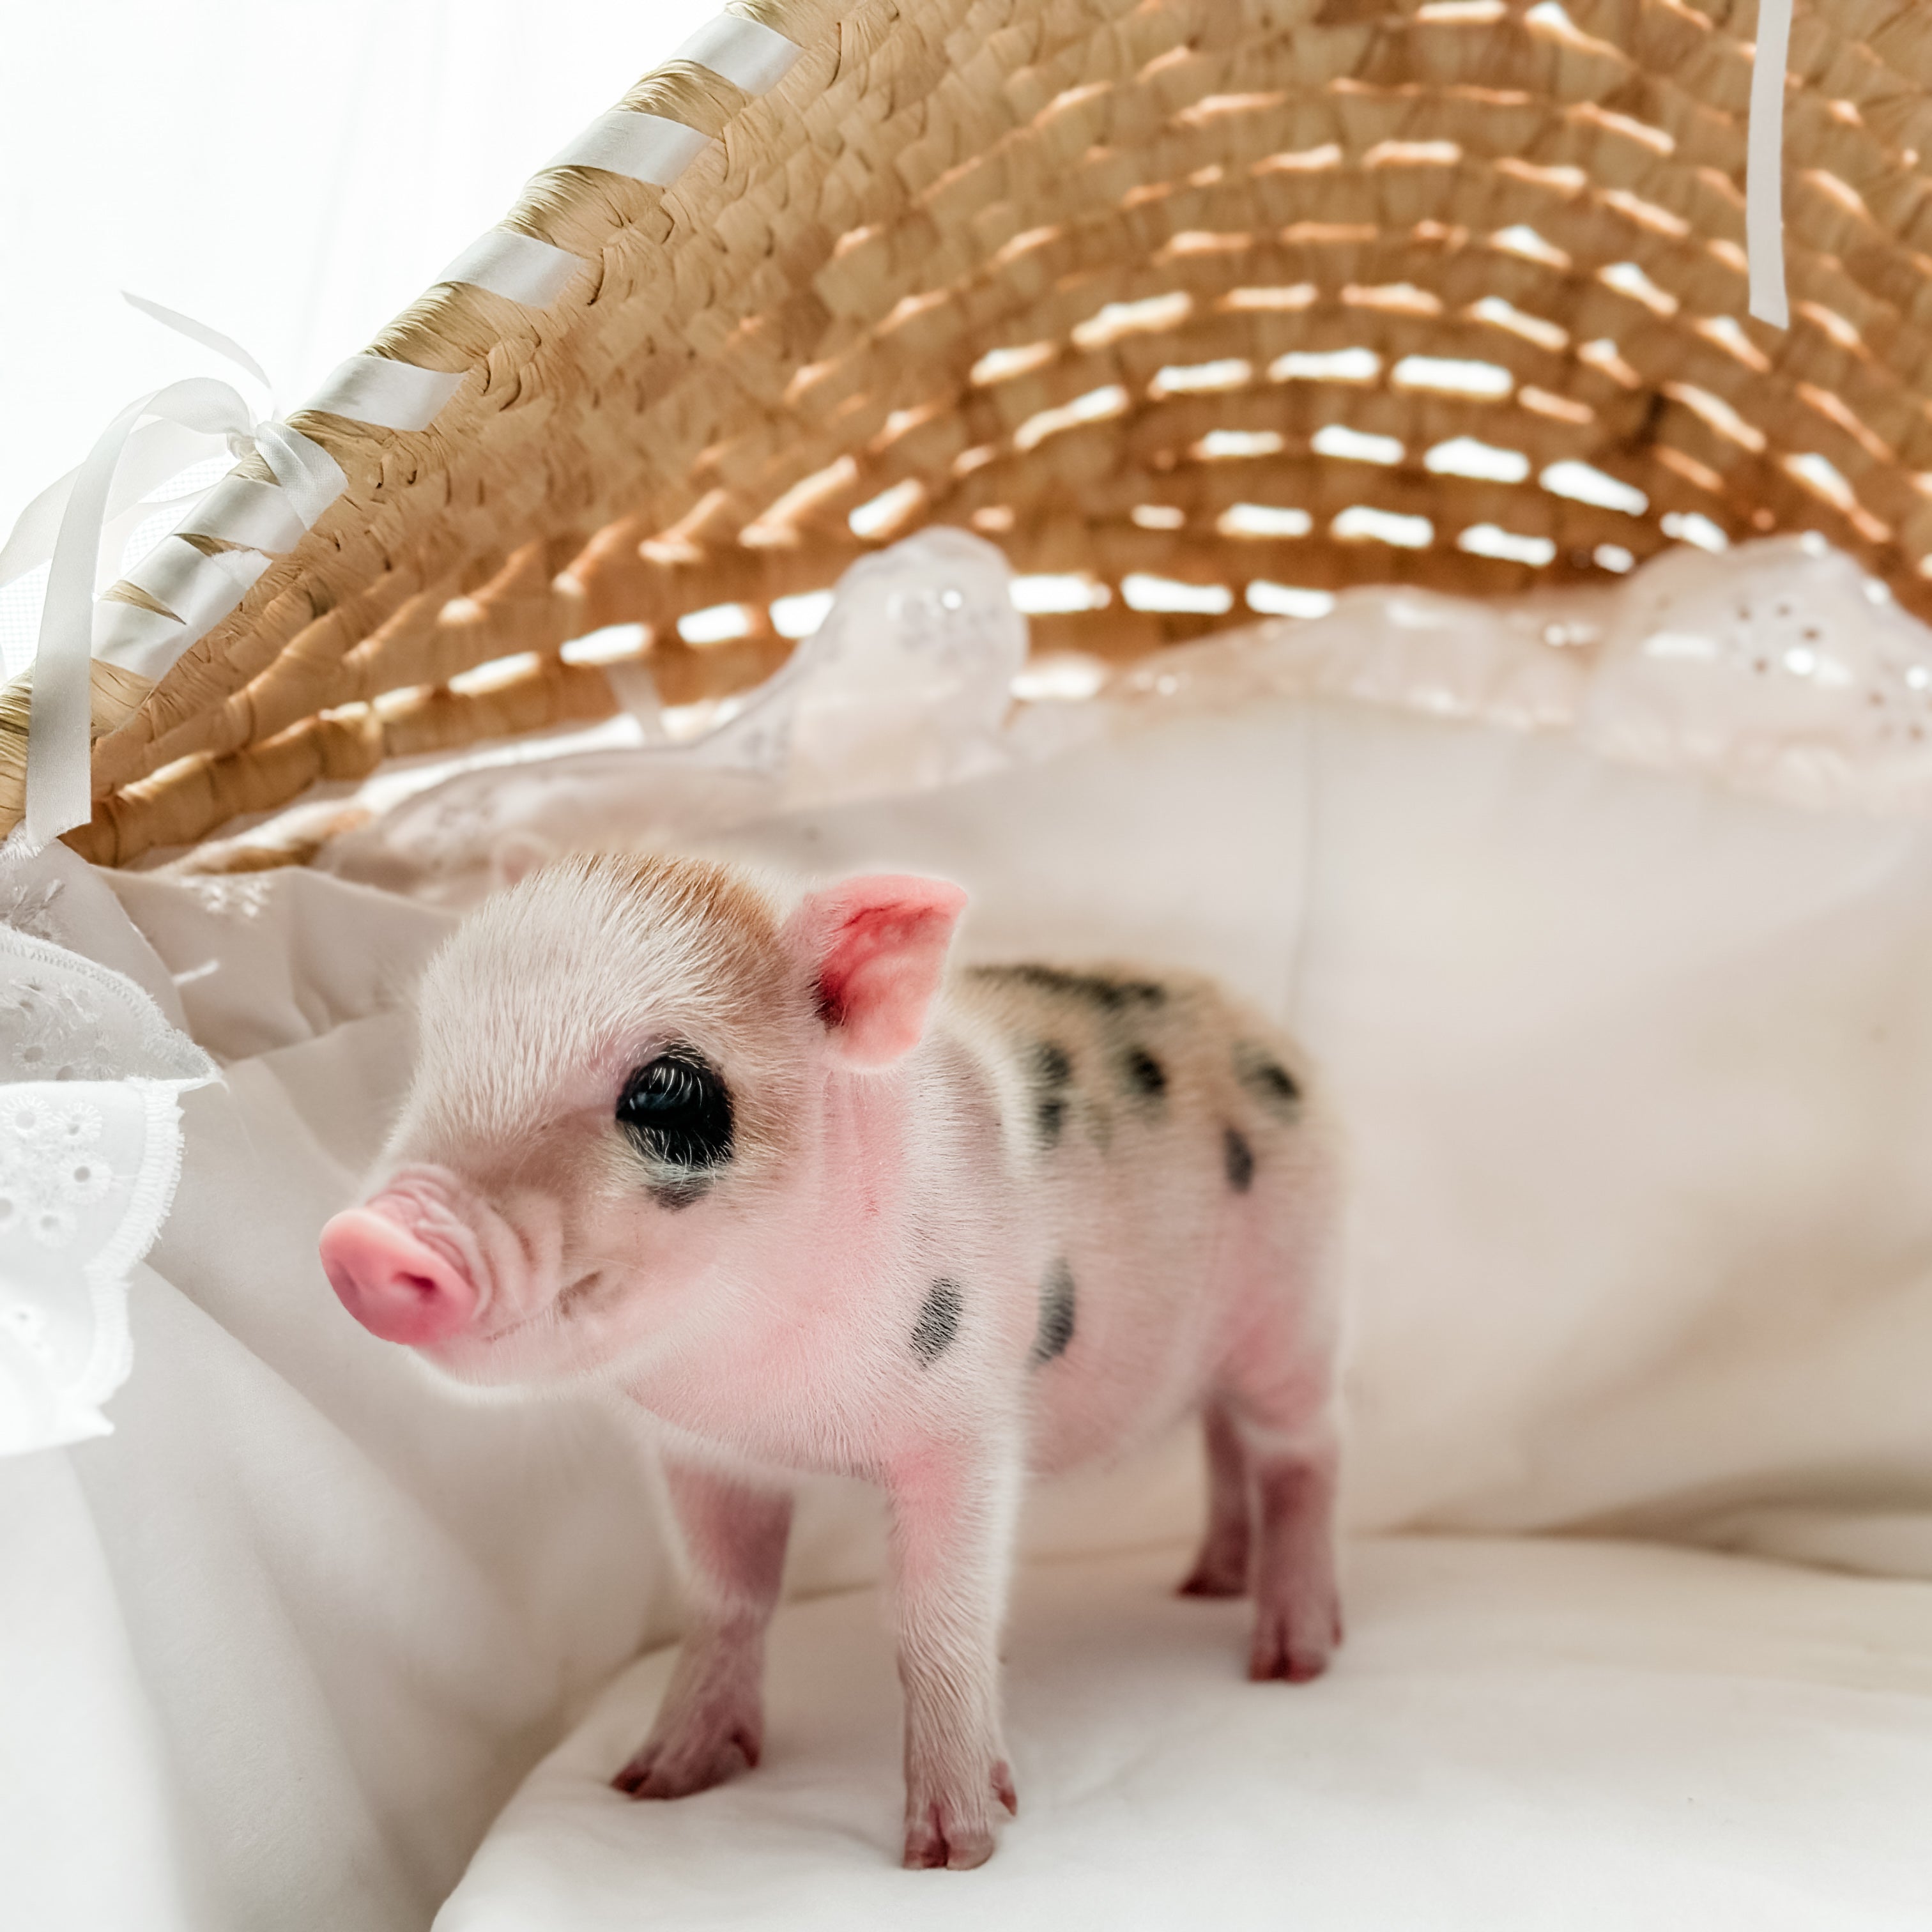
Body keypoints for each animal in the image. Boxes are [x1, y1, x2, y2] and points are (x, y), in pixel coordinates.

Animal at [318, 854, 1342, 1870]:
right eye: (433, 1057)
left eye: (667, 1091)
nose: (365, 1241)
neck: (768, 1396)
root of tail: (1268, 1031)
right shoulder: (702, 1455)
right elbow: (725, 1596)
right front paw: (651, 1784)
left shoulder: (963, 1427)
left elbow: (939, 1618)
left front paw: (954, 1852)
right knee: (1226, 1439)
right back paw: (1206, 1583)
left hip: (1299, 1302)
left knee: (1301, 1458)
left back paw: (1291, 1660)